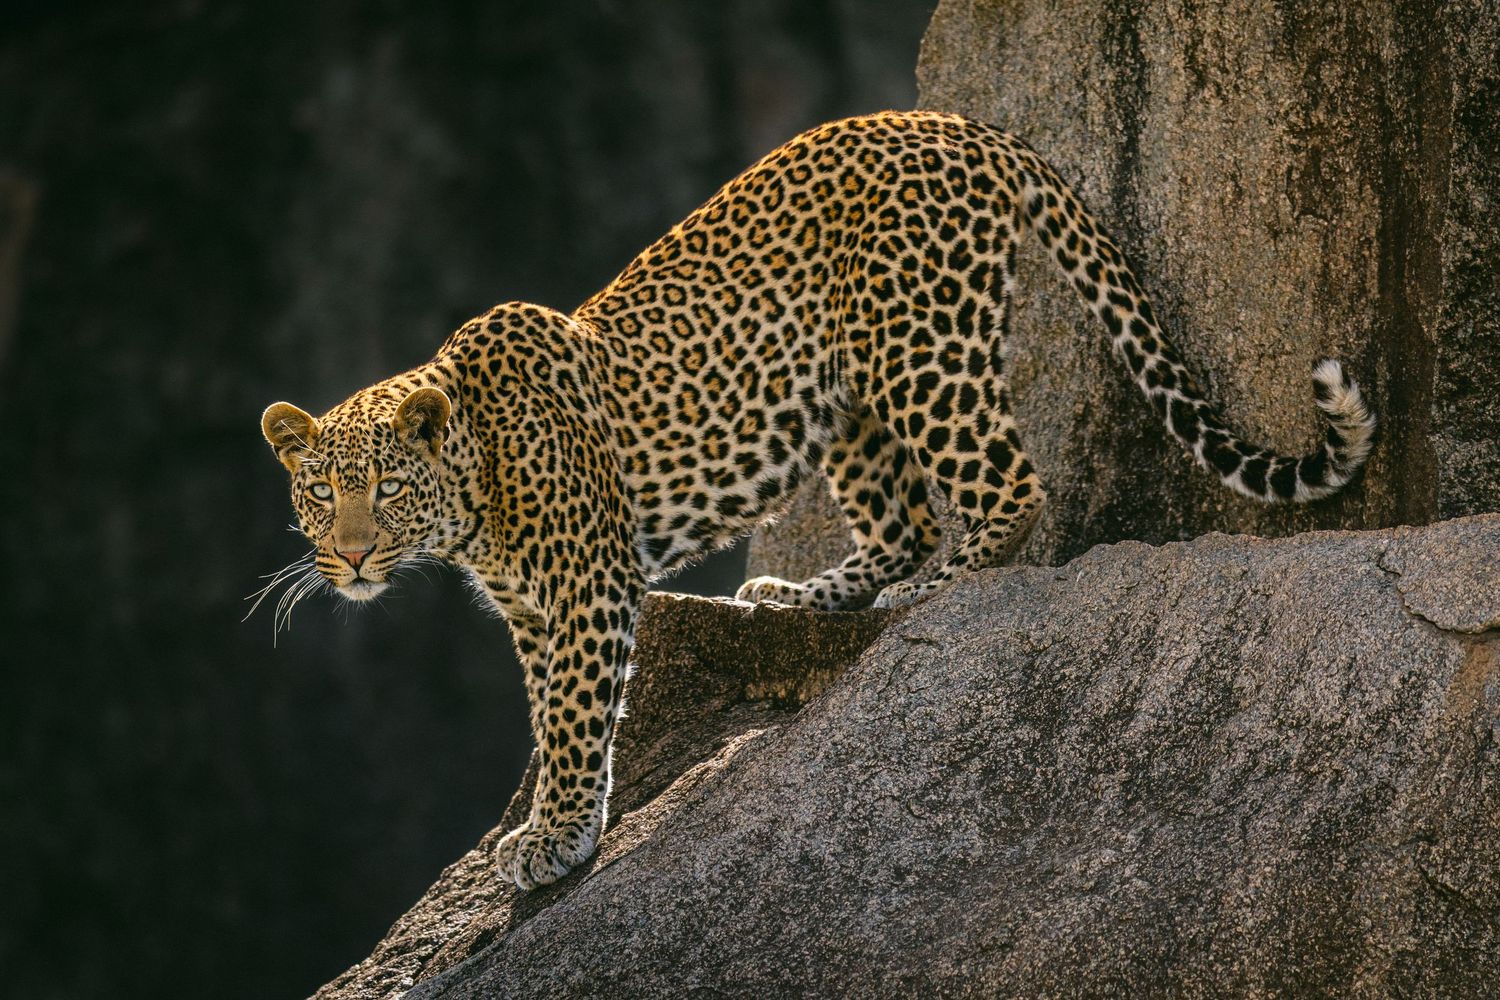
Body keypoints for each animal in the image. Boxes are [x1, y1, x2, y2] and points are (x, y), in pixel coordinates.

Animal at [259, 110, 1375, 890]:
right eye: (319, 492)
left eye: (386, 488)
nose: (349, 557)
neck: (474, 496)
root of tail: (957, 122)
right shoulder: (536, 612)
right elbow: (552, 714)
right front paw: (557, 818)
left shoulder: (586, 588)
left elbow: (574, 717)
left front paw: (558, 834)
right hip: (840, 395)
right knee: (903, 519)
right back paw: (799, 595)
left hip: (917, 346)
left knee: (1005, 486)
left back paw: (935, 590)